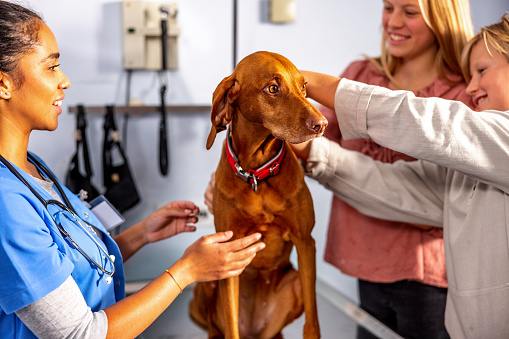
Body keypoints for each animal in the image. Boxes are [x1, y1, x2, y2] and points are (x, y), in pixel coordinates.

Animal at [189, 51, 328, 339]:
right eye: (273, 89)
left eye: (304, 87)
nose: (322, 124)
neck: (256, 174)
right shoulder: (227, 251)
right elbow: (231, 326)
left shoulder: (305, 242)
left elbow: (313, 320)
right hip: (207, 282)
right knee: (216, 325)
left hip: (294, 282)